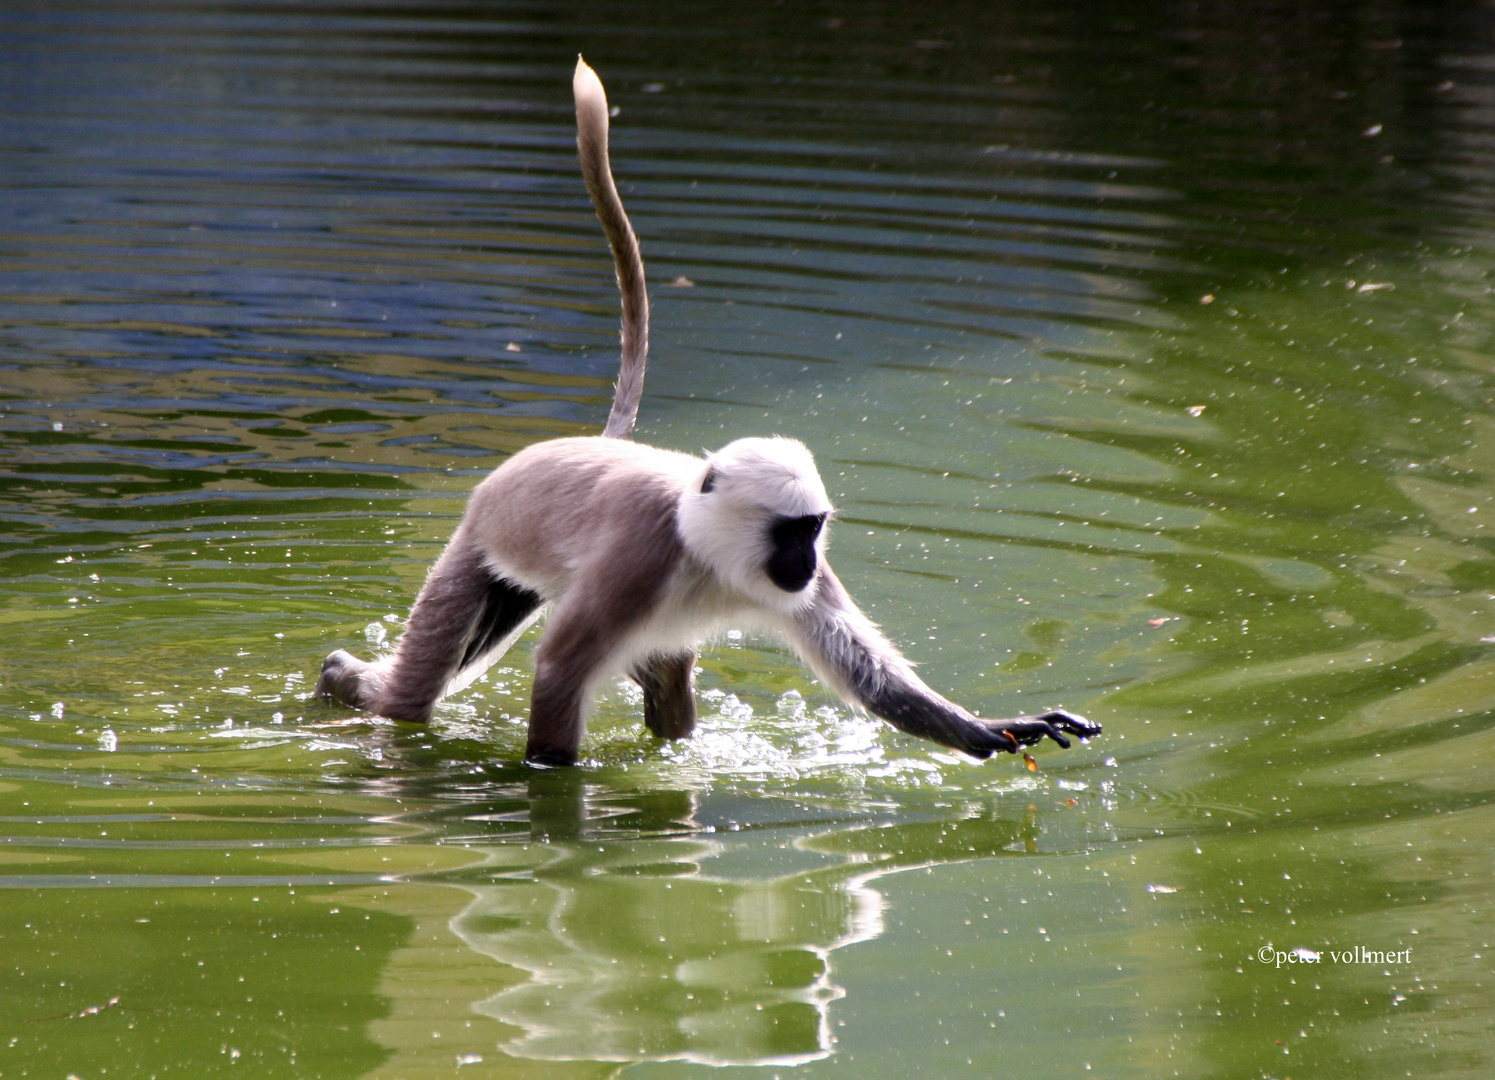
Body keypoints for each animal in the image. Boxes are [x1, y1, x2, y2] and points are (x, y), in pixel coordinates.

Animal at [312, 56, 1100, 765]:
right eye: (791, 531)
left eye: (814, 530)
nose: (805, 560)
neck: (704, 550)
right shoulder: (636, 562)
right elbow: (559, 674)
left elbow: (866, 673)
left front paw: (994, 729)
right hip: (481, 550)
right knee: (412, 694)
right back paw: (342, 680)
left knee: (668, 683)